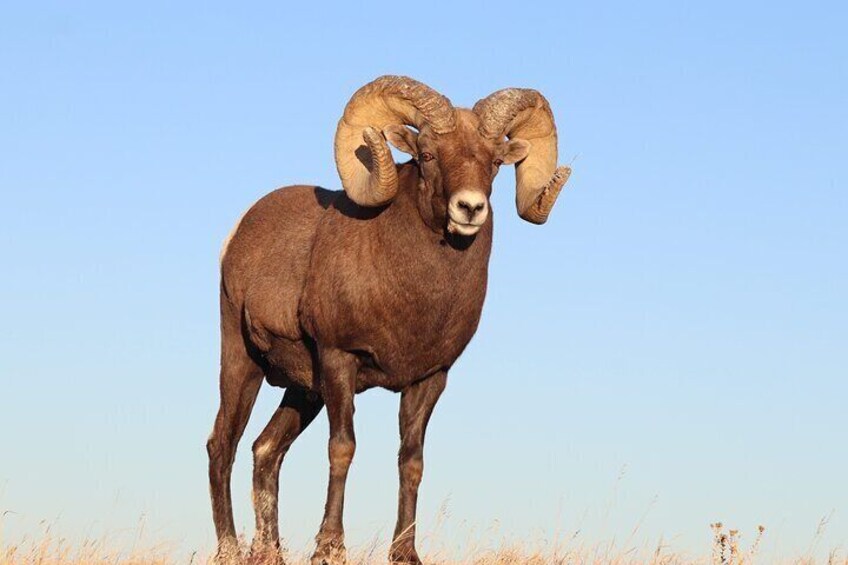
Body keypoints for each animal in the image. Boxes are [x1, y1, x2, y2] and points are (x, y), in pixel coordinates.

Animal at [209, 76, 572, 564]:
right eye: (428, 155)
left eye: (496, 162)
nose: (470, 208)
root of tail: (238, 235)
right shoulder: (340, 360)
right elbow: (342, 449)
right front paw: (330, 548)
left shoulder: (429, 379)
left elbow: (411, 461)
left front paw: (405, 553)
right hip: (242, 363)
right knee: (222, 446)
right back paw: (229, 549)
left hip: (303, 391)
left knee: (265, 451)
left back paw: (271, 552)